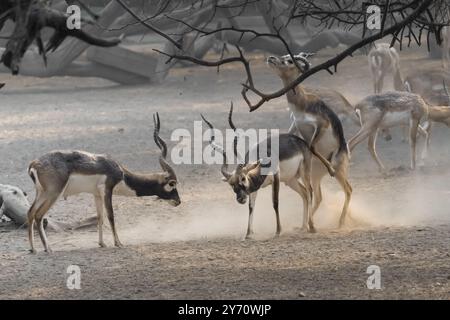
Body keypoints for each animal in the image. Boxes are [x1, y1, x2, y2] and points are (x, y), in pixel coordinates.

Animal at [25, 112, 179, 252]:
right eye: (172, 183)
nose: (178, 201)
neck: (122, 174)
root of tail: (34, 164)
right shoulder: (107, 189)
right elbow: (111, 215)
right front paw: (119, 243)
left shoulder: (96, 194)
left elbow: (100, 217)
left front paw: (102, 243)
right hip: (54, 193)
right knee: (39, 215)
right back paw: (47, 248)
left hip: (42, 193)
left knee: (30, 212)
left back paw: (33, 248)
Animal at [266, 52, 354, 228]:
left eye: (289, 60)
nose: (271, 58)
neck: (302, 102)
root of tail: (346, 150)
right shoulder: (296, 125)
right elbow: (295, 138)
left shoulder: (321, 124)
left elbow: (312, 146)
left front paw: (330, 168)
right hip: (314, 175)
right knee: (318, 196)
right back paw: (304, 225)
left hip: (340, 171)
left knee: (348, 190)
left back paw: (340, 222)